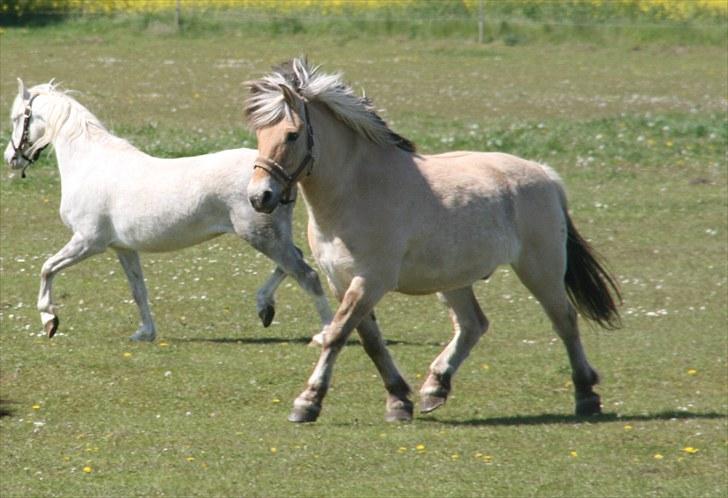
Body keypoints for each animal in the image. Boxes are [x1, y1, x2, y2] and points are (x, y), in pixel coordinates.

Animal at [2, 80, 332, 342]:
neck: (89, 163)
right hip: (271, 235)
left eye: (19, 118)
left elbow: (47, 268)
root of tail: (276, 178)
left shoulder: (88, 241)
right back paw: (265, 307)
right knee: (294, 262)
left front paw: (49, 320)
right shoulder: (123, 248)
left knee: (306, 274)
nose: (10, 158)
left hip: (261, 236)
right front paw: (145, 333)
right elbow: (138, 290)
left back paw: (326, 331)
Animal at [245, 58, 620, 424]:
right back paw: (435, 387)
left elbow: (338, 335)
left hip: (540, 269)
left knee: (564, 320)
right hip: (454, 280)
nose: (259, 197)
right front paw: (398, 400)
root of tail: (545, 174)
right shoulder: (341, 281)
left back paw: (586, 395)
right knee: (472, 325)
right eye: (260, 133)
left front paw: (308, 402)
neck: (357, 192)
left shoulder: (370, 281)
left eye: (292, 135)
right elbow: (371, 341)